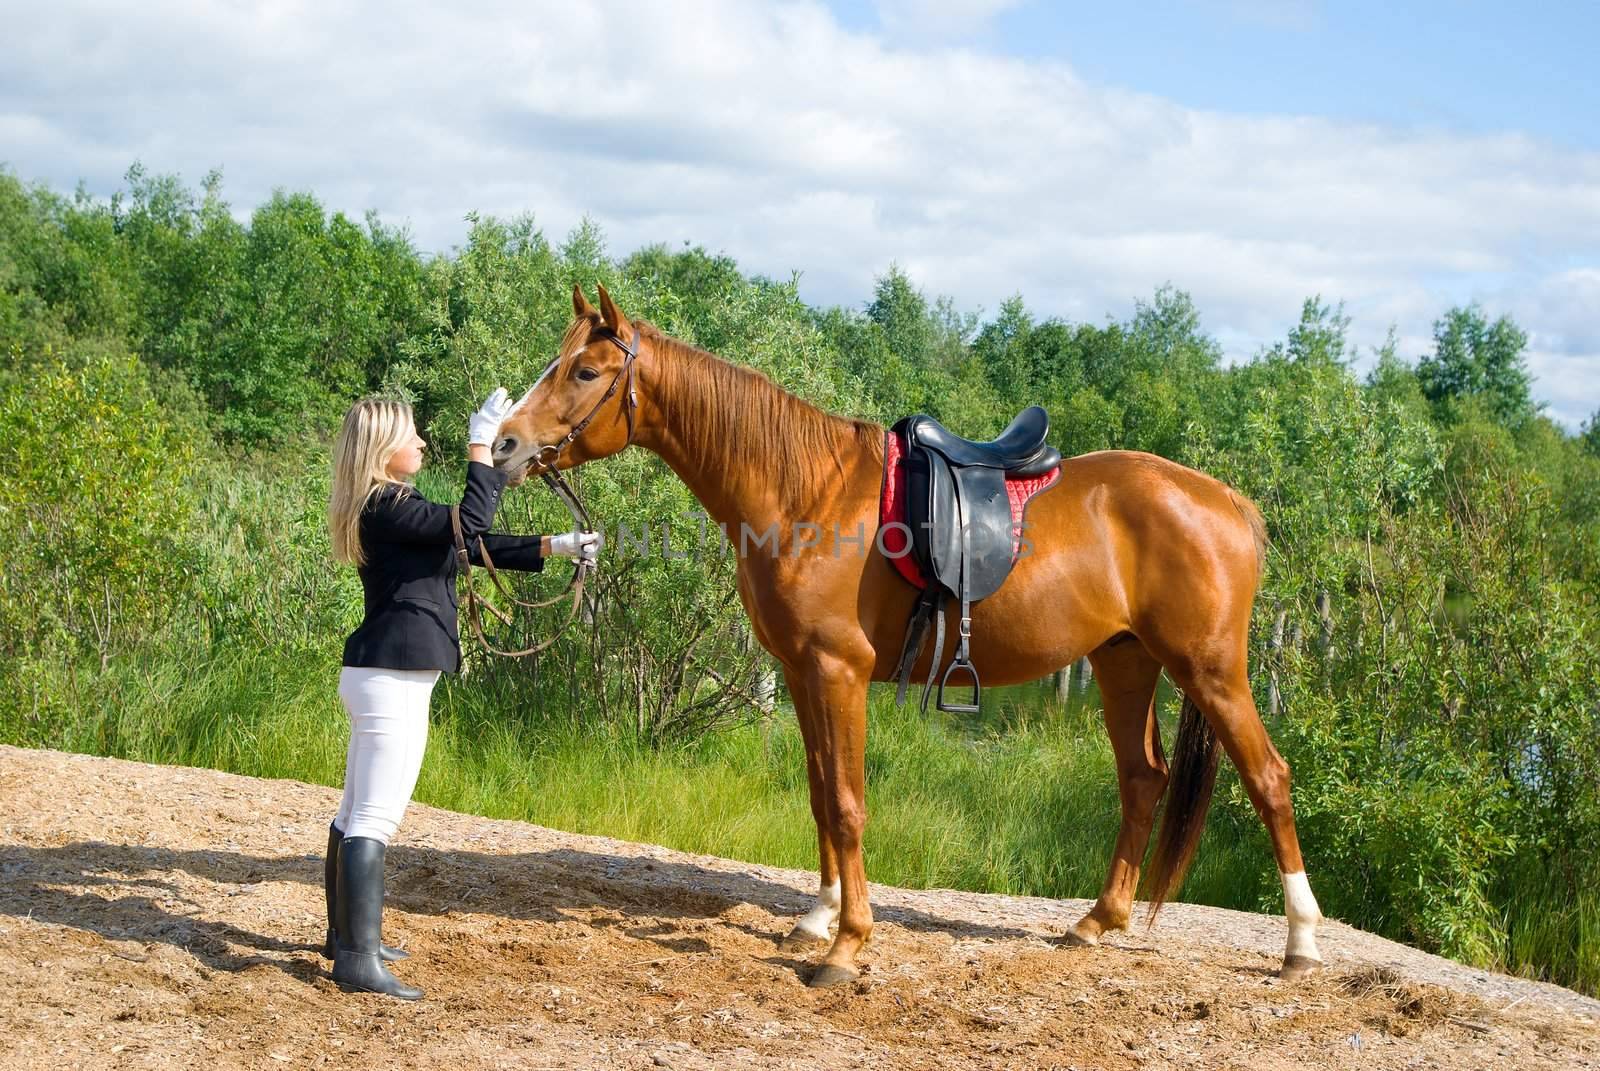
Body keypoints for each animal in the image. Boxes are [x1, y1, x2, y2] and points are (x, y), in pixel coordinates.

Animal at [489, 283, 1324, 986]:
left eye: (586, 370)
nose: (504, 445)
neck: (806, 491)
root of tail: (1226, 500)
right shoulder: (802, 672)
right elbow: (821, 792)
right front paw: (816, 917)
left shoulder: (839, 670)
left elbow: (848, 801)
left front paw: (846, 944)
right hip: (1125, 664)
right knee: (1143, 780)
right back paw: (1096, 922)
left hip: (1209, 668)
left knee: (1270, 778)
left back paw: (1301, 944)